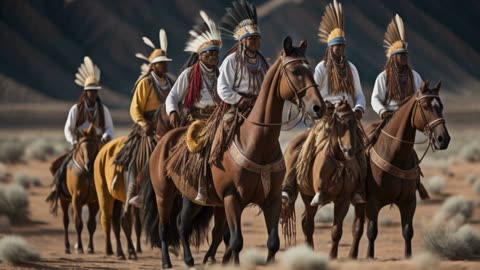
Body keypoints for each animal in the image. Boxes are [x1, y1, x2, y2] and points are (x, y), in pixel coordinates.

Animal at [47, 123, 101, 254]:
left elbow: (91, 224)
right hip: (64, 200)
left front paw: (90, 247)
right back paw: (67, 247)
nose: (89, 164)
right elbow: (78, 223)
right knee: (66, 222)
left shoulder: (94, 202)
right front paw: (80, 247)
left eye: (94, 145)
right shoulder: (77, 200)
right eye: (81, 148)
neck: (88, 173)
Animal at [92, 103, 172, 260]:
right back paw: (118, 250)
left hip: (118, 199)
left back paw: (121, 251)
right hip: (105, 195)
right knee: (111, 220)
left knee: (117, 224)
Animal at [142, 37, 326, 268]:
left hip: (192, 196)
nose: (319, 107)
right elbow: (236, 240)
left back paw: (191, 259)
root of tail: (163, 141)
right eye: (295, 71)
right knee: (165, 227)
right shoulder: (232, 198)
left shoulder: (272, 199)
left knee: (183, 224)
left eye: (310, 69)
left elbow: (272, 242)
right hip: (164, 194)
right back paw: (168, 262)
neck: (257, 143)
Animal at [282, 99, 368, 258]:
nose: (349, 150)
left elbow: (336, 231)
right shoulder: (317, 195)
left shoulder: (343, 200)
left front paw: (332, 255)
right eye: (339, 124)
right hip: (307, 195)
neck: (338, 160)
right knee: (307, 223)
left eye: (354, 124)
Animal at [352, 81, 450, 258]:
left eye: (441, 106)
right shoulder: (372, 202)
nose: (443, 139)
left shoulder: (408, 201)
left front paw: (408, 255)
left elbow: (407, 231)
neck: (395, 155)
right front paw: (369, 256)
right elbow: (371, 232)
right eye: (425, 106)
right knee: (357, 228)